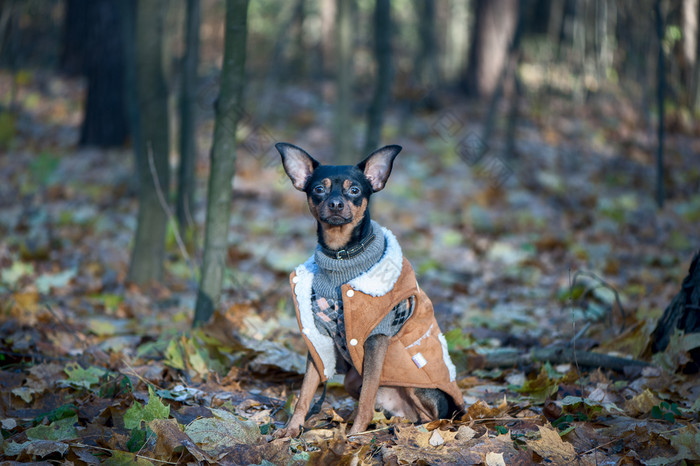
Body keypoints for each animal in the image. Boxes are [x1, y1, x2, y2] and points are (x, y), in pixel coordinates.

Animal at [274, 143, 464, 436]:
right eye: (318, 189)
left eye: (355, 190)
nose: (336, 203)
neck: (341, 256)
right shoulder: (318, 340)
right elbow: (305, 393)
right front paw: (291, 430)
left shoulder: (376, 339)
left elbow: (366, 398)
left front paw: (354, 435)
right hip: (353, 380)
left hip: (414, 383)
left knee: (430, 416)